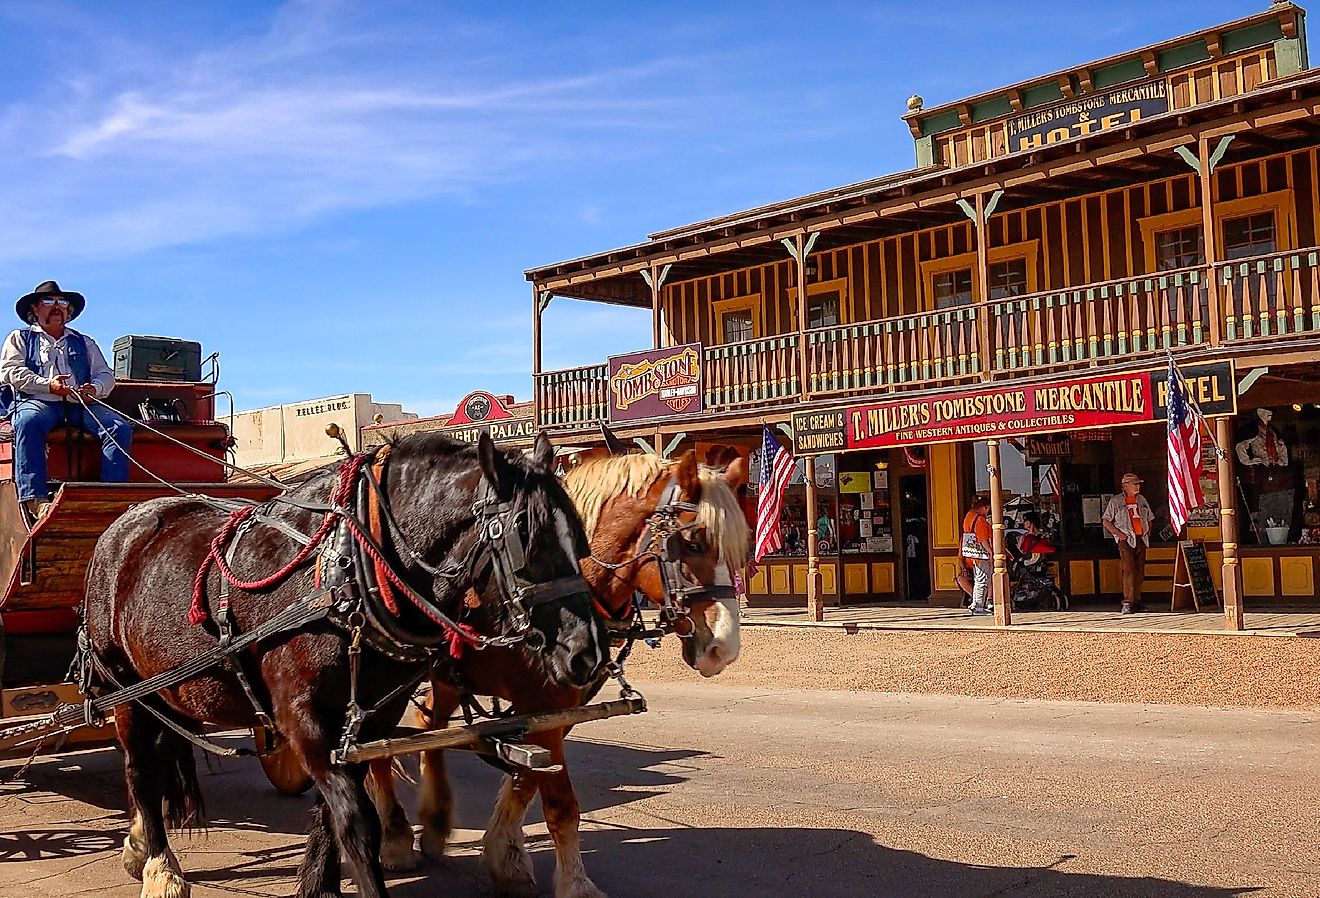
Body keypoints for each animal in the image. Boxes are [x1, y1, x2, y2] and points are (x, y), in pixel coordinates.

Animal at [77, 433, 604, 898]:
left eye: (579, 540)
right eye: (525, 544)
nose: (588, 652)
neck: (351, 569)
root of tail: (124, 524)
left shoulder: (372, 720)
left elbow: (332, 814)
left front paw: (320, 885)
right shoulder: (303, 719)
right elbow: (355, 819)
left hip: (167, 691)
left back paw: (139, 844)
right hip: (123, 688)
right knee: (140, 770)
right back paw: (160, 868)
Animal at [366, 449, 755, 898]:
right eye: (692, 543)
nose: (724, 646)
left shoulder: (557, 709)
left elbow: (527, 777)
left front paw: (505, 857)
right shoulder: (543, 704)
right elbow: (560, 804)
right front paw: (575, 883)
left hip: (445, 677)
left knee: (429, 727)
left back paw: (434, 820)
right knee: (381, 746)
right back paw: (395, 837)